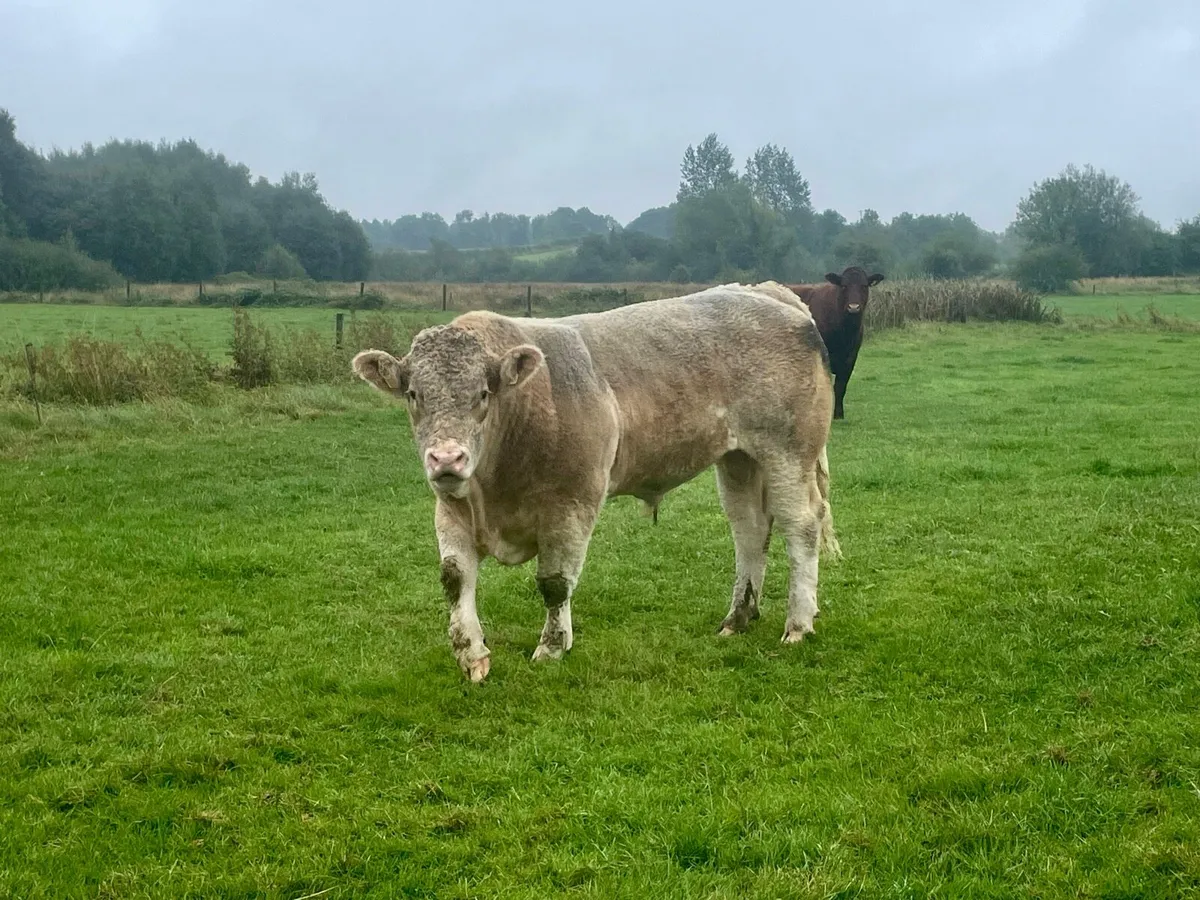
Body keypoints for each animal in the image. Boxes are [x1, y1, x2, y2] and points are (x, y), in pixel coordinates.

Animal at [351, 281, 841, 682]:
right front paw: (472, 654)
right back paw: (737, 618)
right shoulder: (452, 506)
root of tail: (768, 293)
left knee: (801, 527)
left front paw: (551, 648)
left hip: (788, 453)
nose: (447, 458)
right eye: (413, 395)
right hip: (738, 460)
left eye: (483, 394)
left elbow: (554, 581)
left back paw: (798, 624)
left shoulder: (573, 500)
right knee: (750, 530)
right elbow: (454, 577)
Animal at [791, 266, 884, 420]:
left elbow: (841, 386)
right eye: (844, 286)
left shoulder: (850, 358)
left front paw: (839, 414)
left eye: (864, 286)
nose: (854, 307)